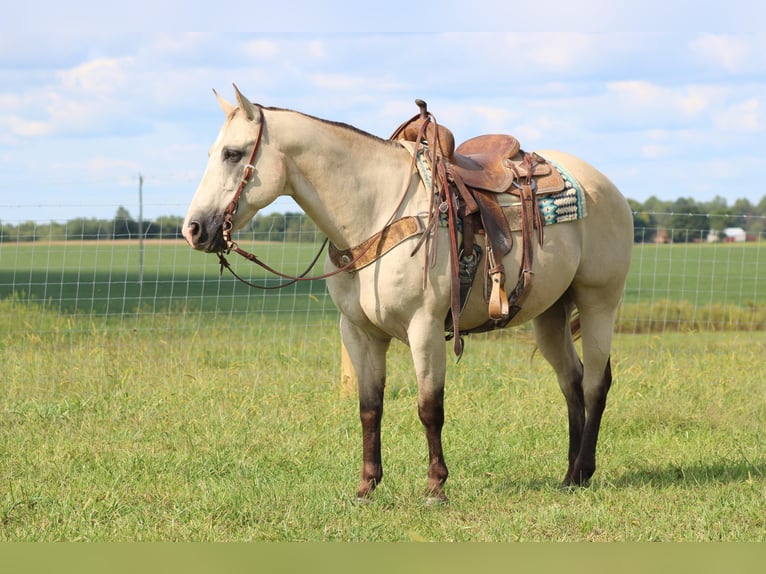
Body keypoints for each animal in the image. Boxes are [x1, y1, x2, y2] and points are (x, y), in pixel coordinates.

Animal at [182, 86, 636, 504]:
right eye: (213, 152)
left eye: (233, 154)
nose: (194, 229)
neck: (377, 212)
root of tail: (606, 186)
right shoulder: (359, 333)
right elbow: (369, 408)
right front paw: (366, 487)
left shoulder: (426, 328)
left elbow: (429, 407)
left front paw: (435, 487)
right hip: (550, 314)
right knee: (571, 382)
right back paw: (570, 477)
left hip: (599, 302)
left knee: (595, 383)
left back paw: (585, 470)